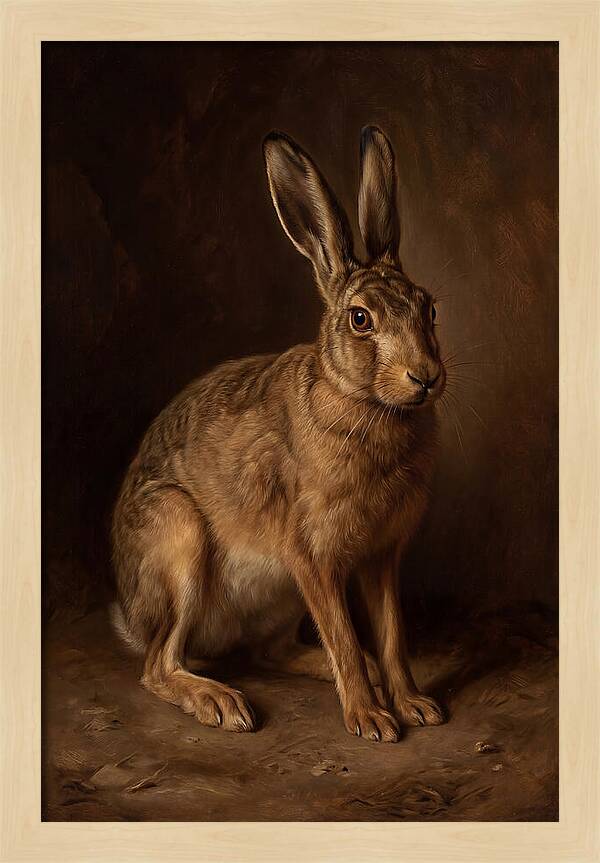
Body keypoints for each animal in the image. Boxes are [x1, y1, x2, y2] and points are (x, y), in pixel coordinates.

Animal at [111, 126, 446, 743]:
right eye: (360, 319)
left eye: (429, 309)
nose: (426, 377)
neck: (365, 403)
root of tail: (131, 612)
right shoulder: (310, 554)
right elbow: (343, 634)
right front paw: (371, 721)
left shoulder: (381, 556)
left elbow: (391, 636)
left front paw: (414, 704)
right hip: (178, 537)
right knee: (158, 665)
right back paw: (221, 703)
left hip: (279, 599)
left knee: (272, 653)